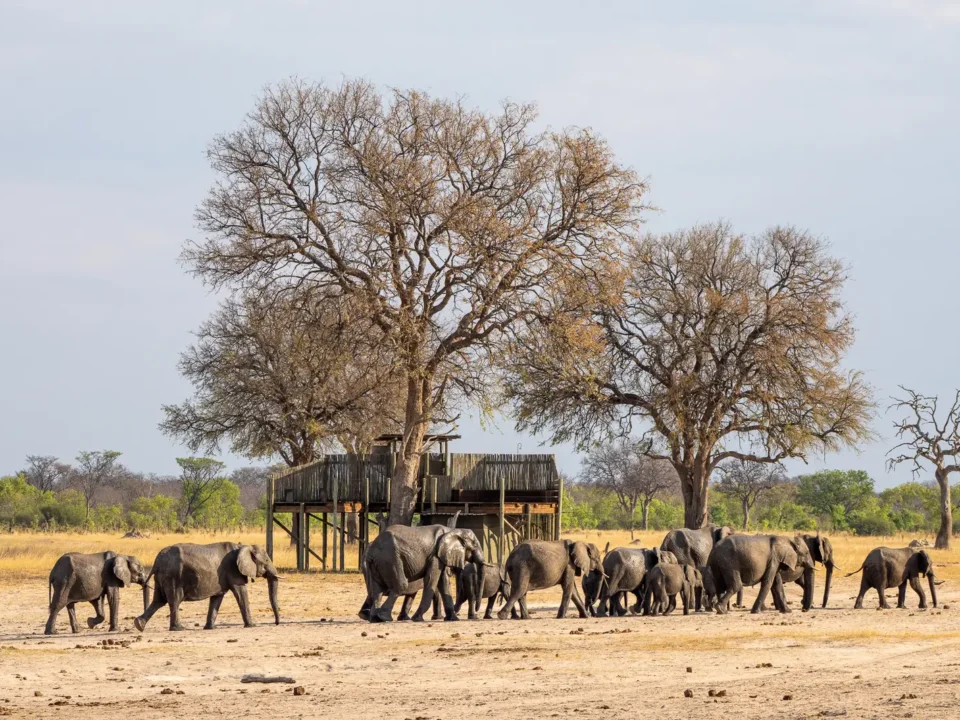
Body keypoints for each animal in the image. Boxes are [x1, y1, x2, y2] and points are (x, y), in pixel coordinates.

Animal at [135, 543, 280, 631]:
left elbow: (217, 598)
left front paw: (210, 628)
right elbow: (241, 592)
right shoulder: (233, 571)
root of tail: (157, 561)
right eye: (266, 560)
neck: (243, 546)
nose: (276, 623)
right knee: (174, 600)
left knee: (158, 601)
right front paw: (252, 625)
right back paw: (179, 628)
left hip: (162, 577)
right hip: (173, 576)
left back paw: (139, 625)